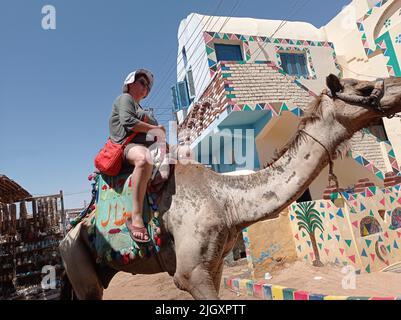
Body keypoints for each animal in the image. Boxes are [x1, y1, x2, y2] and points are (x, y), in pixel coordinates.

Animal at [57, 75, 400, 300]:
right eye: (363, 88)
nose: (396, 83)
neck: (227, 198)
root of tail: (65, 235)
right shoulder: (190, 273)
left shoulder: (215, 264)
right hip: (77, 261)